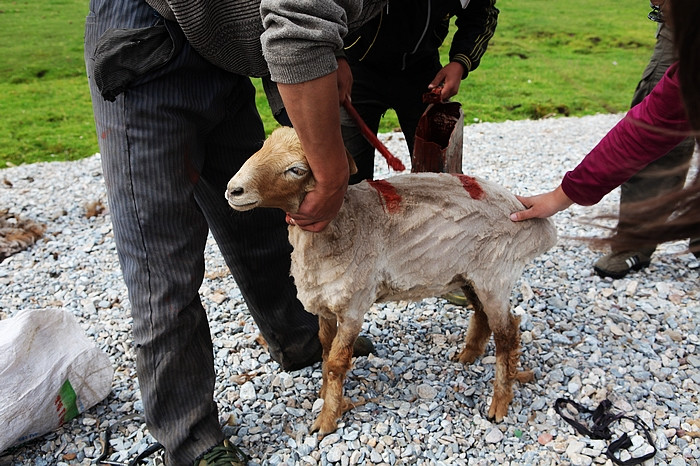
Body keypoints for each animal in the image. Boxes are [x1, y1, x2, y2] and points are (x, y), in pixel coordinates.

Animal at [227, 125, 556, 436]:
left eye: (296, 169)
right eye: (263, 147)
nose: (233, 190)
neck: (341, 222)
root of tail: (531, 218)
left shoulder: (353, 306)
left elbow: (336, 363)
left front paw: (327, 419)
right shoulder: (325, 305)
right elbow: (324, 349)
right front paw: (323, 394)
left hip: (495, 273)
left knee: (508, 335)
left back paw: (499, 403)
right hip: (469, 274)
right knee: (482, 315)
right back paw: (468, 355)